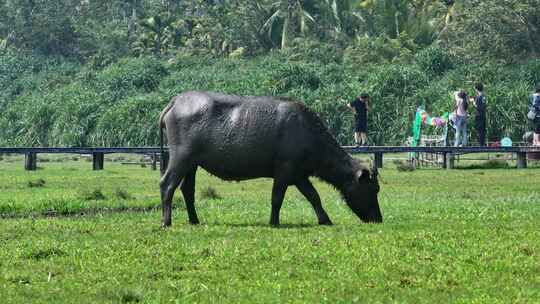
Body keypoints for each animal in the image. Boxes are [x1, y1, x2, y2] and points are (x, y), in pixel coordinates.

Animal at [158, 91, 382, 227]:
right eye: (372, 188)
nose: (378, 218)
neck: (307, 133)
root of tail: (175, 102)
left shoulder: (299, 175)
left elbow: (313, 196)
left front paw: (325, 219)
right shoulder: (284, 172)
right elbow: (277, 198)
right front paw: (274, 222)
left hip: (192, 164)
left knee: (187, 190)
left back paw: (194, 220)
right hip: (180, 158)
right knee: (167, 184)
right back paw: (166, 222)